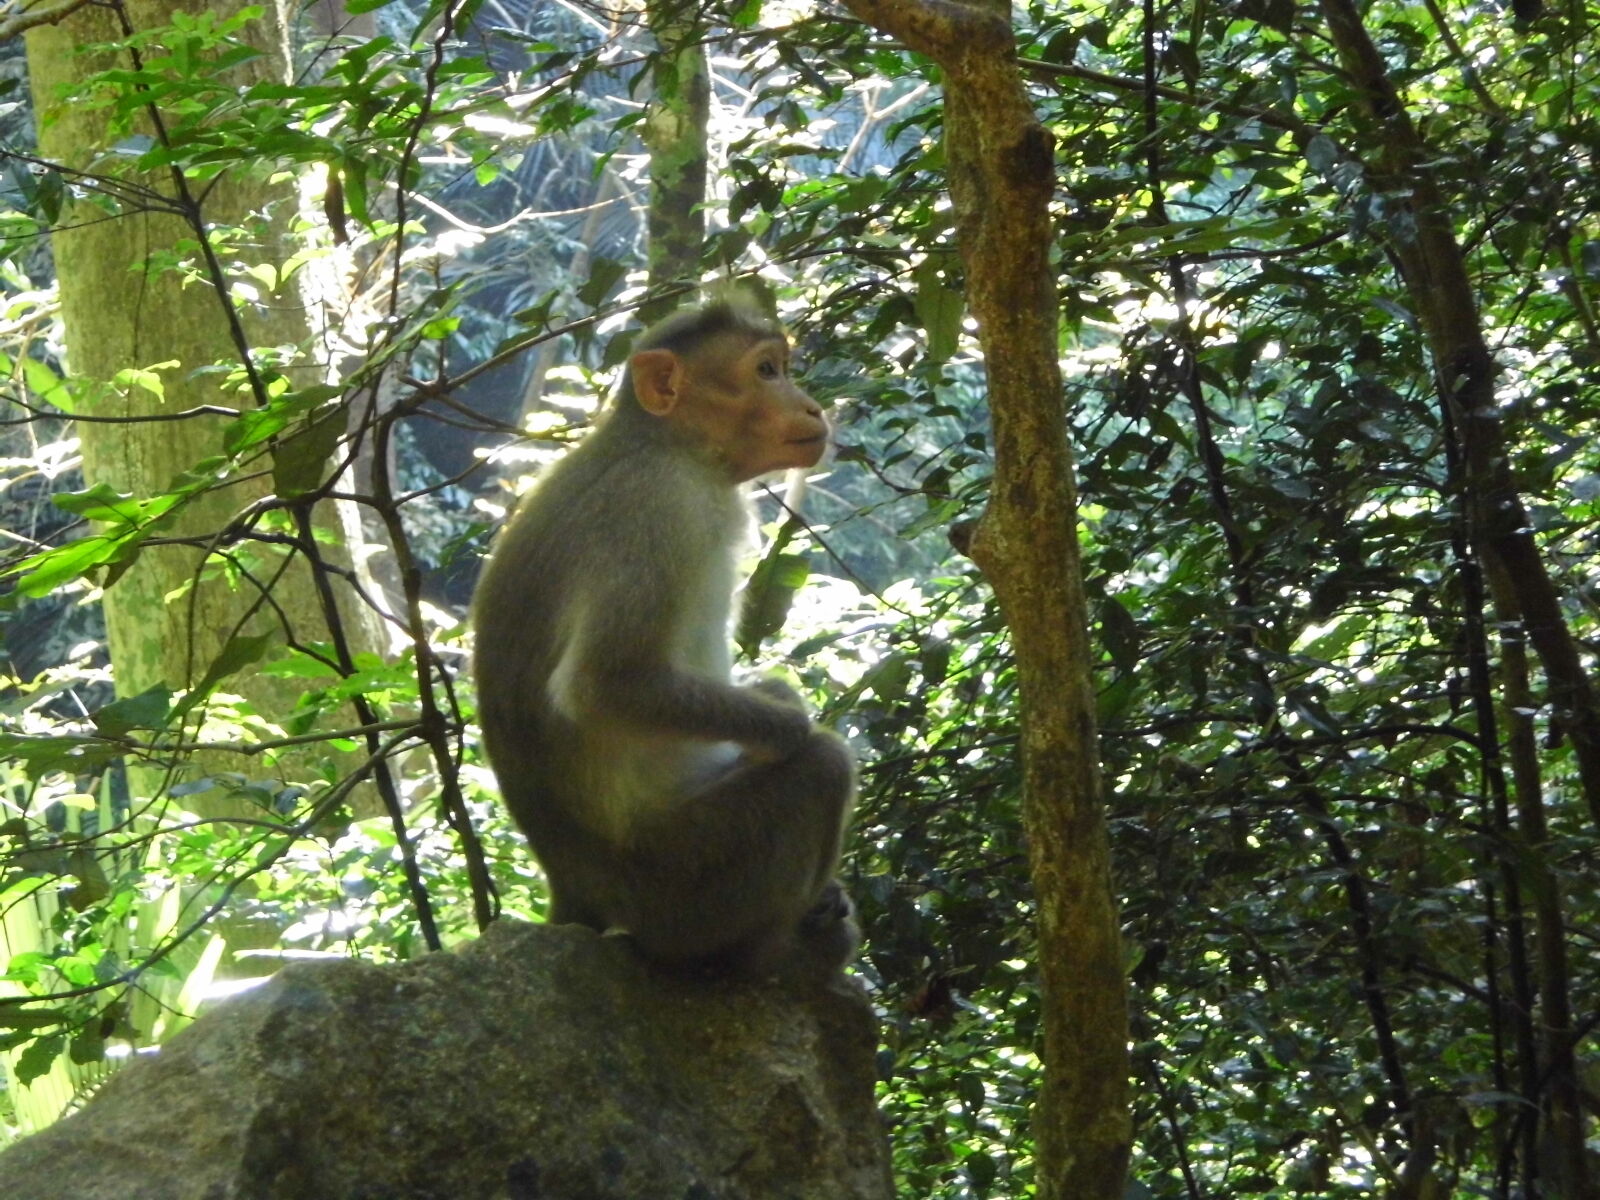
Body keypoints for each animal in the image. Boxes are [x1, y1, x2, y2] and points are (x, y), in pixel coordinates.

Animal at [471, 297, 858, 980]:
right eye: (765, 371)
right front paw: (789, 729)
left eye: (782, 367)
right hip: (684, 880)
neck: (671, 446)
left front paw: (781, 703)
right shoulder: (654, 507)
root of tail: (573, 892)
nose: (812, 407)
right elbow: (604, 684)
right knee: (822, 769)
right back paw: (767, 956)